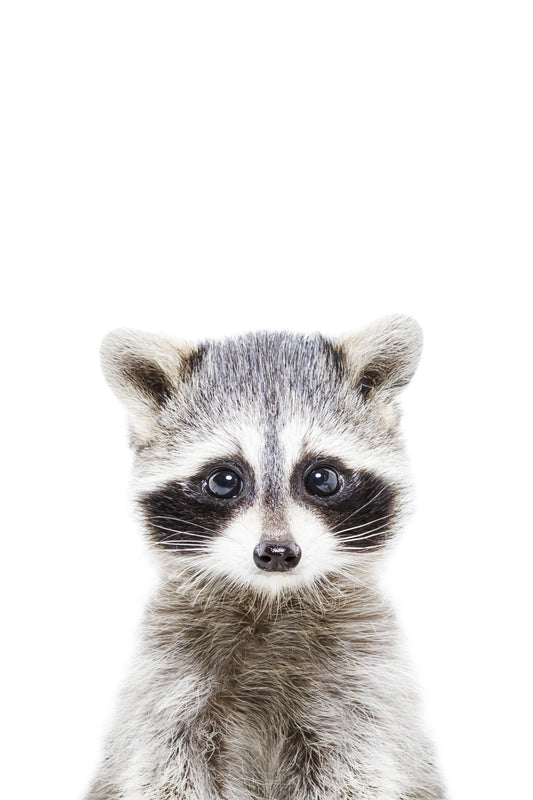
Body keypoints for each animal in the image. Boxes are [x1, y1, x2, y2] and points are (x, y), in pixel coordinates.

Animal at [86, 315, 446, 800]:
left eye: (322, 478)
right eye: (224, 480)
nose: (277, 553)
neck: (270, 600)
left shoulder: (364, 686)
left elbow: (357, 769)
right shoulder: (167, 683)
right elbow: (164, 769)